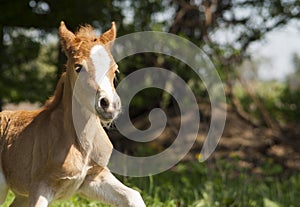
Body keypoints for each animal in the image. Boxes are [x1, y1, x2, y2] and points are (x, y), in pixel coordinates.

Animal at [0, 21, 145, 206]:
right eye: (78, 67)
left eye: (115, 70)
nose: (109, 105)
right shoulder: (40, 188)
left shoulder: (93, 178)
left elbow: (133, 195)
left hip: (21, 196)